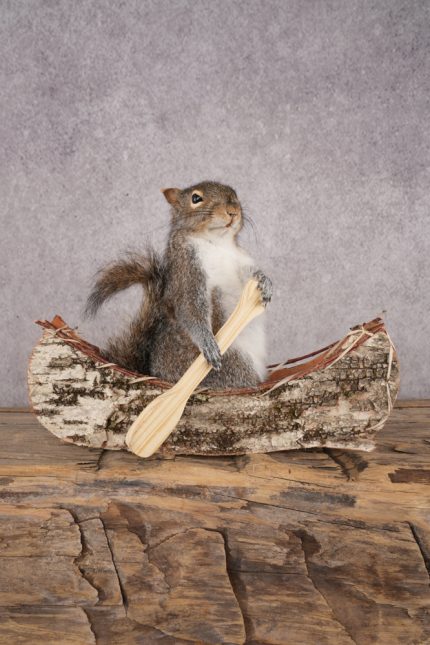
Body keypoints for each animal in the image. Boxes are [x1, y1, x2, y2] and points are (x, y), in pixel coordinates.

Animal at [84, 181, 272, 389]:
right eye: (196, 198)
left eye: (235, 195)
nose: (233, 211)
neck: (216, 242)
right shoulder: (187, 271)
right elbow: (191, 308)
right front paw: (207, 344)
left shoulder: (239, 261)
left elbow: (249, 274)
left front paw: (265, 282)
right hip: (234, 365)